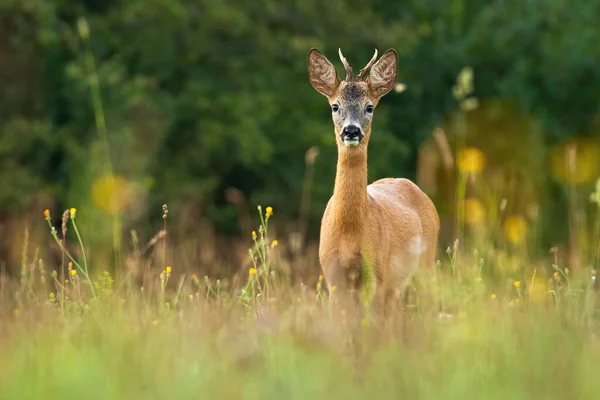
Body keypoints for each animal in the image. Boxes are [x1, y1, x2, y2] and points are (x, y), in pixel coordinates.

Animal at [308, 47, 438, 316]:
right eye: (335, 106)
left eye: (369, 107)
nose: (351, 131)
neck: (349, 233)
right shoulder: (331, 272)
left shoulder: (377, 270)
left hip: (426, 261)